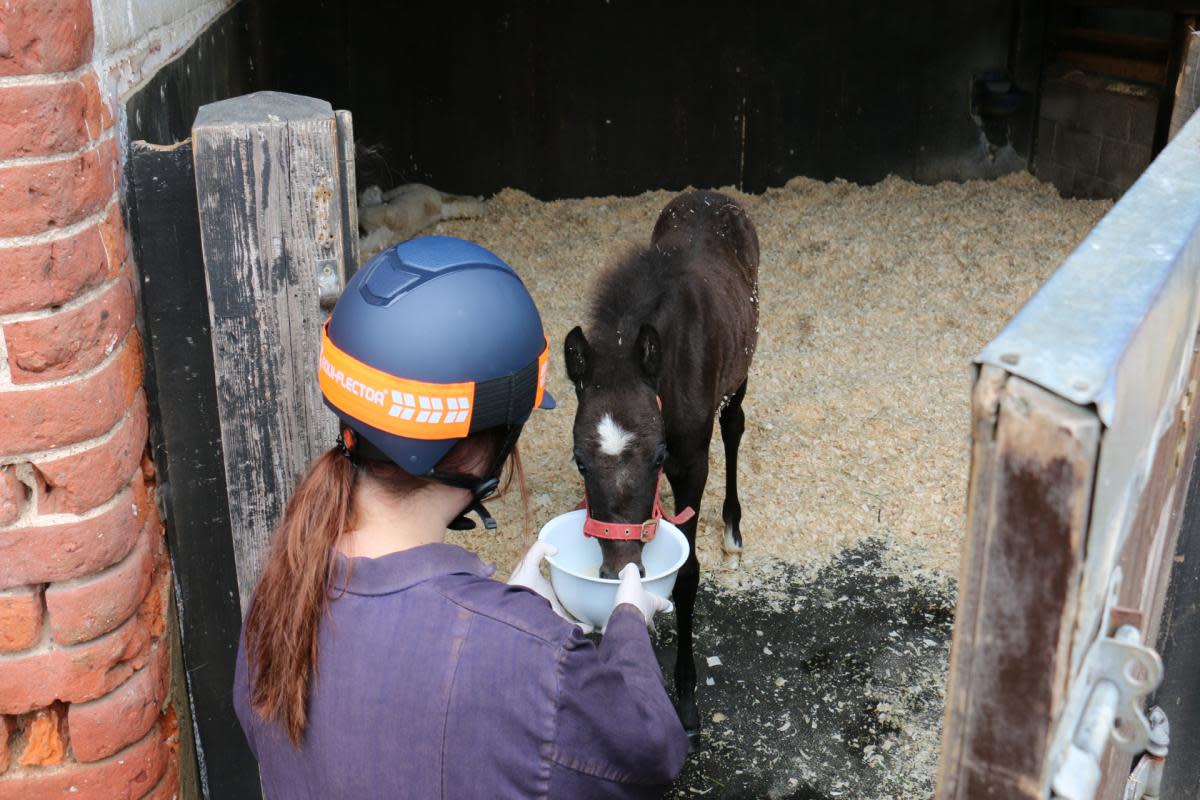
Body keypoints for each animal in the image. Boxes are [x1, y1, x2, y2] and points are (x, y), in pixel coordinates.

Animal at [564, 189, 758, 738]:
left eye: (657, 455)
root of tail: (713, 195)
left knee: (734, 425)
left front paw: (687, 700)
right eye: (580, 461)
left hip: (741, 373)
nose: (619, 567)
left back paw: (732, 530)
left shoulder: (691, 466)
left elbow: (687, 574)